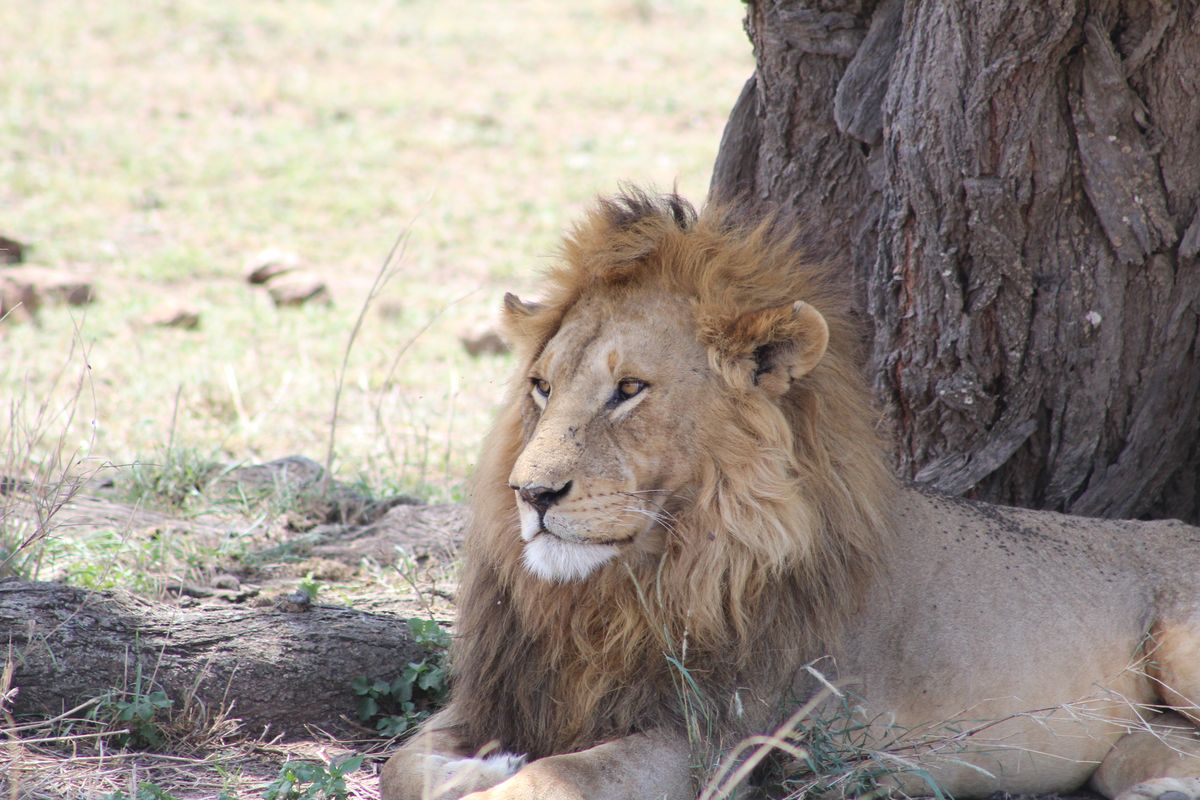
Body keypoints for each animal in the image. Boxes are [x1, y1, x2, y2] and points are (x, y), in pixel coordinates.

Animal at [380, 189, 1200, 800]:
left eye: (629, 390)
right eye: (541, 387)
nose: (531, 493)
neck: (614, 596)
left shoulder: (711, 739)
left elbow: (551, 780)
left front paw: (500, 776)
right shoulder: (504, 696)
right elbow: (402, 764)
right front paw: (476, 766)